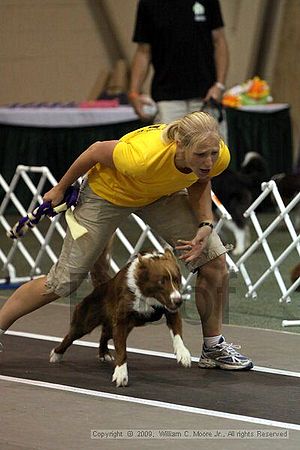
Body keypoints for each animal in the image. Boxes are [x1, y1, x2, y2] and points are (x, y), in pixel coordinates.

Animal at [49, 250, 190, 386]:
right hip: (86, 320)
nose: (179, 301)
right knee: (70, 336)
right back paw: (56, 354)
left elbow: (177, 332)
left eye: (177, 280)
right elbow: (122, 350)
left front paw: (183, 354)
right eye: (161, 281)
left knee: (105, 334)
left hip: (118, 325)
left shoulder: (170, 311)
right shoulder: (122, 320)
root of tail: (103, 284)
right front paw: (121, 374)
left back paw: (104, 353)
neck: (146, 294)